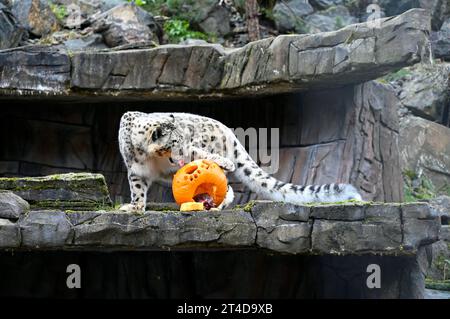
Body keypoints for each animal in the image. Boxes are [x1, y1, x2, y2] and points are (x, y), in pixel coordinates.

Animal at [117, 111, 362, 214]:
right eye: (172, 142)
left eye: (180, 140)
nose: (178, 155)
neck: (149, 157)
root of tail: (227, 130)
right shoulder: (136, 171)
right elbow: (137, 189)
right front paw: (134, 207)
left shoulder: (190, 149)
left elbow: (198, 154)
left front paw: (225, 163)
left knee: (224, 186)